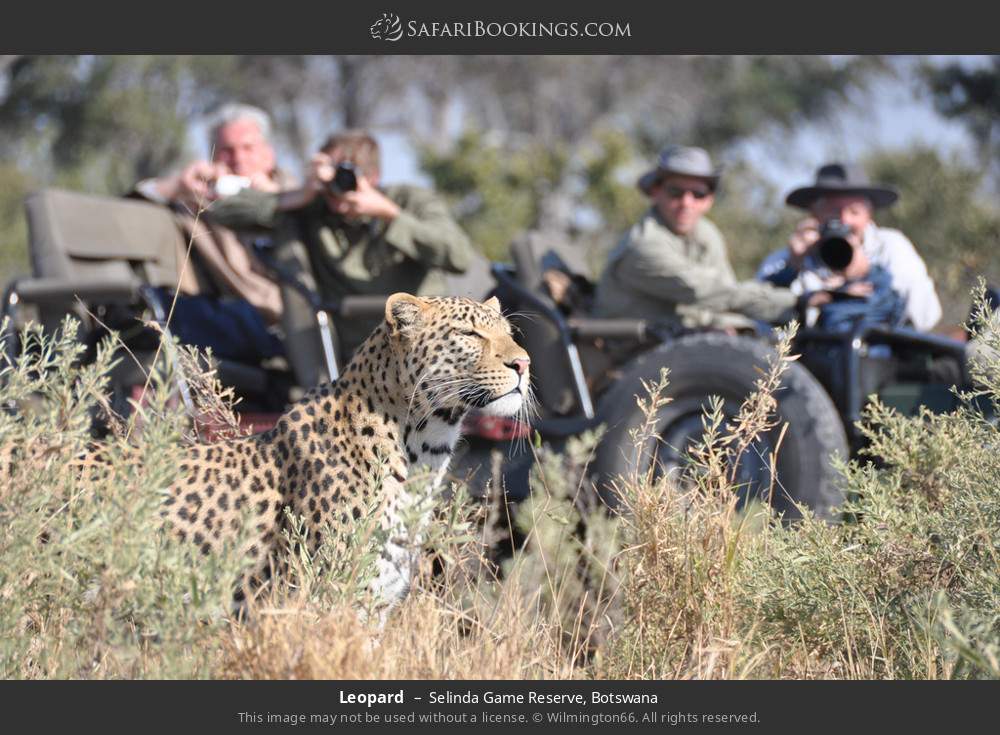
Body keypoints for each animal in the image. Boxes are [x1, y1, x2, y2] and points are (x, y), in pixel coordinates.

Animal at [159, 292, 531, 618]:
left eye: (509, 333)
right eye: (469, 334)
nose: (523, 363)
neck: (425, 449)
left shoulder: (378, 599)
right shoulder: (329, 596)